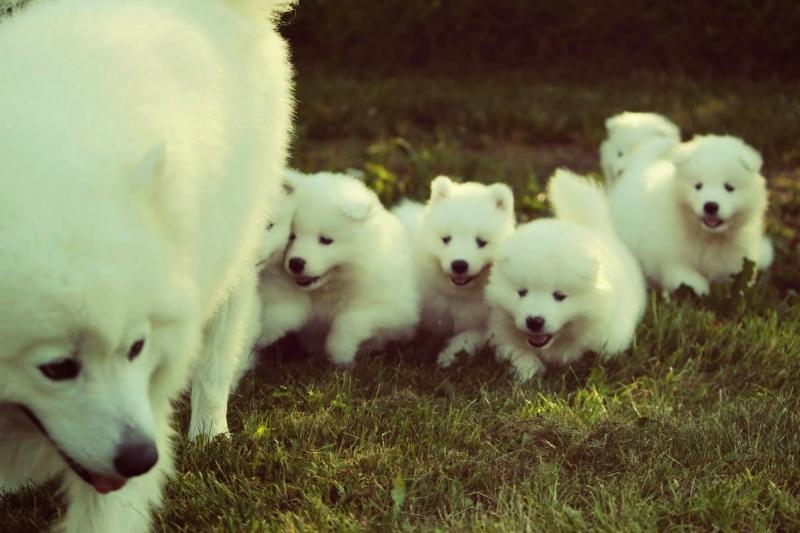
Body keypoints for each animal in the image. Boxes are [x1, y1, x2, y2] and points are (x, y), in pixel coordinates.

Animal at [392, 177, 516, 368]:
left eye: (481, 242)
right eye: (446, 239)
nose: (459, 264)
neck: (456, 295)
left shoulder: (484, 322)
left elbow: (467, 339)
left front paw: (448, 357)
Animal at [484, 170, 648, 382]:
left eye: (559, 296)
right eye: (521, 292)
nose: (534, 321)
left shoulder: (610, 336)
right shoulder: (502, 330)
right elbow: (518, 352)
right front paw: (530, 372)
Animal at [608, 131, 772, 294]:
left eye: (729, 187)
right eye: (698, 186)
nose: (710, 206)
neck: (708, 238)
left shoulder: (735, 261)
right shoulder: (673, 259)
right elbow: (690, 279)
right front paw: (699, 291)